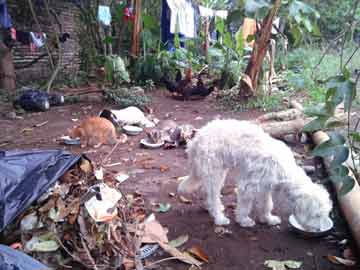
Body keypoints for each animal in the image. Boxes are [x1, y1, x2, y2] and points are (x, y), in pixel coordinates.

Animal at [179, 119, 334, 231]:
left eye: (324, 215)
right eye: (317, 215)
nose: (319, 229)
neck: (283, 169)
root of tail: (196, 139)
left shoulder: (266, 187)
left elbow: (267, 205)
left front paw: (267, 219)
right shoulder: (248, 187)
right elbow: (245, 206)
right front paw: (243, 220)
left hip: (217, 173)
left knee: (208, 193)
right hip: (214, 174)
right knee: (213, 197)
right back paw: (219, 218)